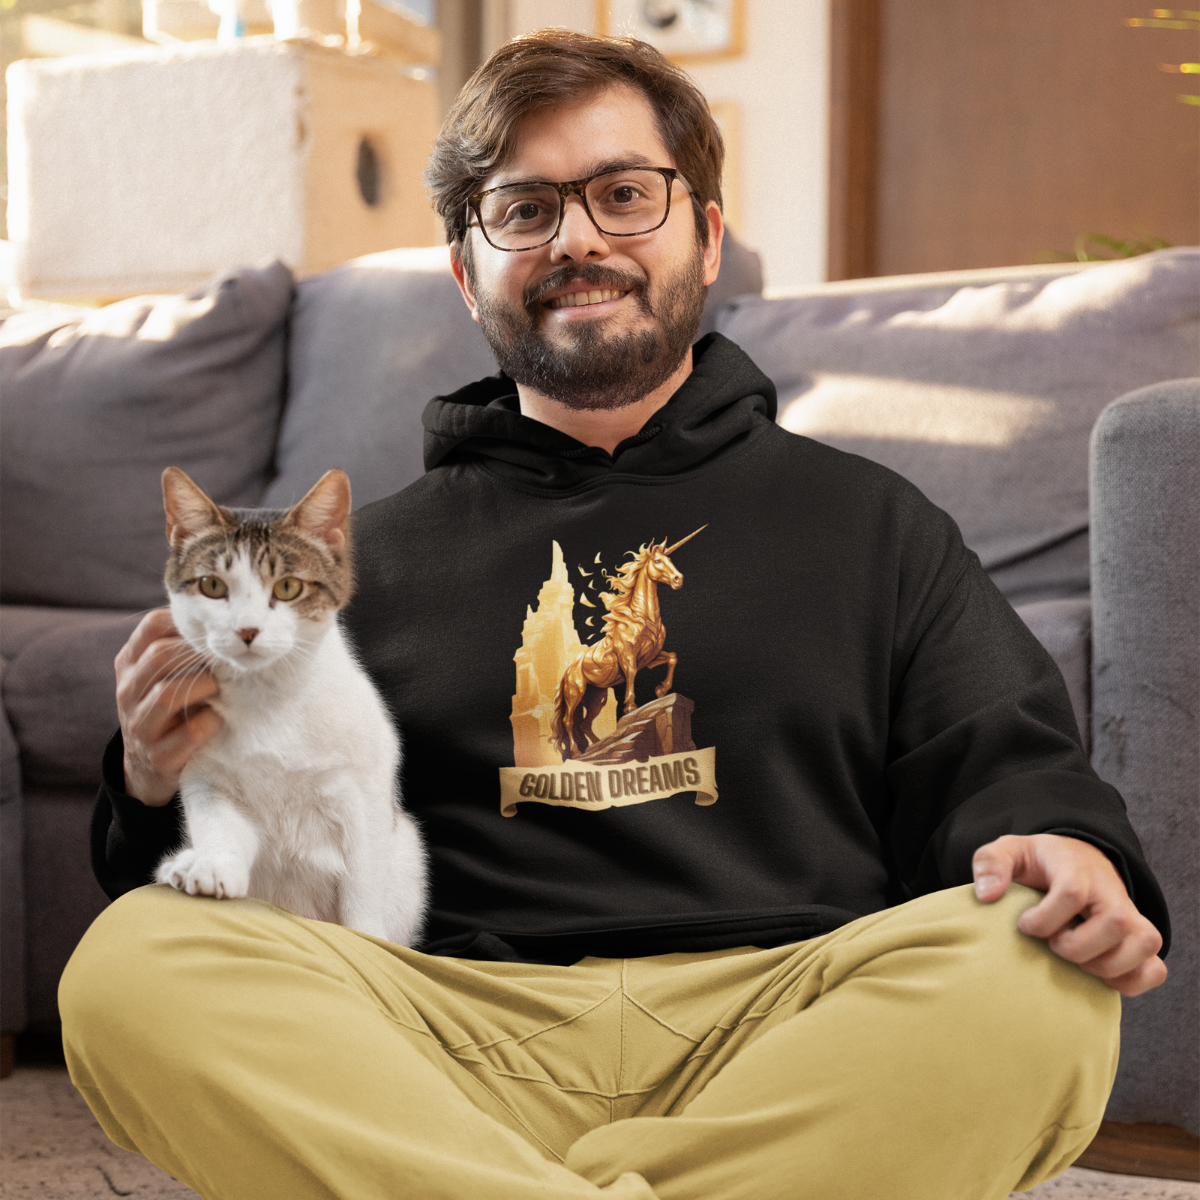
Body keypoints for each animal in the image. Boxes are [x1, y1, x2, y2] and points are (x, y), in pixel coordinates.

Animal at [153, 468, 427, 945]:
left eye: (287, 587)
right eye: (212, 586)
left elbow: (364, 884)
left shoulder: (362, 793)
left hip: (406, 849)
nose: (247, 630)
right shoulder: (207, 776)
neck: (267, 698)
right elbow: (220, 825)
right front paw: (213, 865)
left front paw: (366, 939)